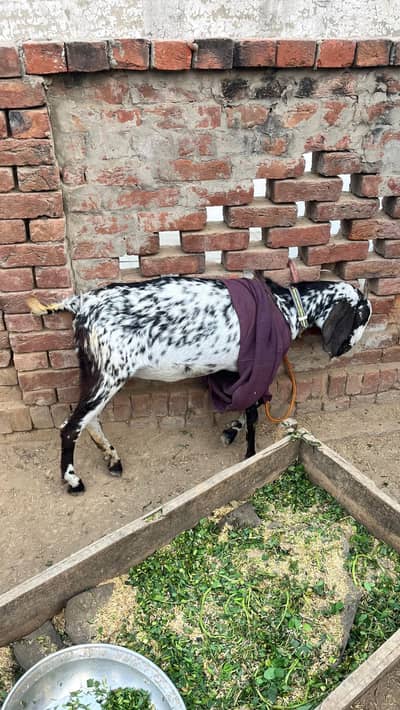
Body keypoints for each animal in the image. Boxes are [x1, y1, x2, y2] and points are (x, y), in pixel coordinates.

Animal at [28, 275, 371, 494]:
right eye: (362, 316)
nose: (348, 348)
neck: (284, 305)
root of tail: (82, 303)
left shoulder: (237, 369)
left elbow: (245, 404)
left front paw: (230, 430)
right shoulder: (258, 366)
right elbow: (253, 411)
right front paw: (249, 456)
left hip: (95, 370)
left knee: (90, 419)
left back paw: (112, 459)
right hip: (110, 372)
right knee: (71, 426)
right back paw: (73, 481)